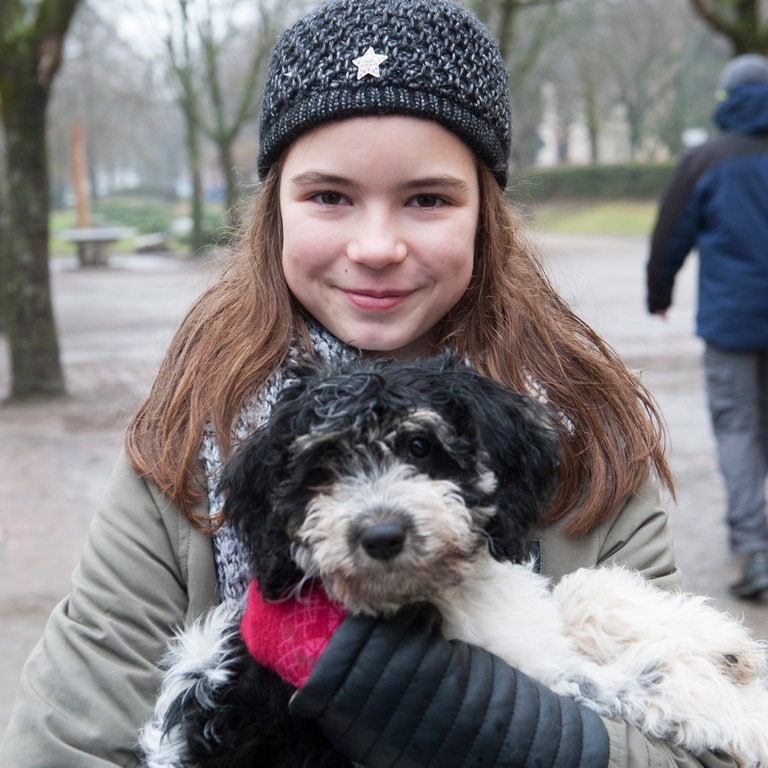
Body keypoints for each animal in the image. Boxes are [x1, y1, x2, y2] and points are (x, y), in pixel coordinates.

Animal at [141, 356, 768, 768]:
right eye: (321, 469)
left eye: (420, 446)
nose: (381, 535)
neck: (441, 590)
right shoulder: (521, 686)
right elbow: (620, 681)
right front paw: (746, 714)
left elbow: (582, 593)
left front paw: (720, 644)